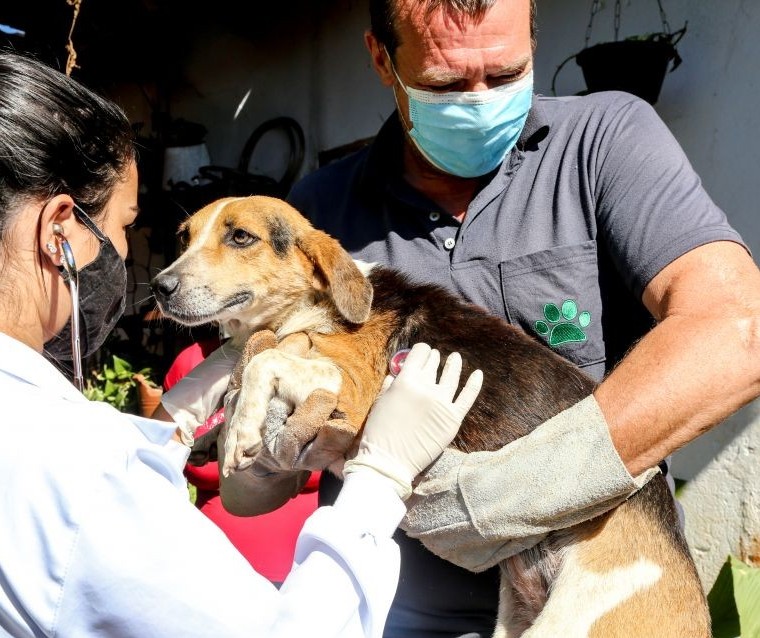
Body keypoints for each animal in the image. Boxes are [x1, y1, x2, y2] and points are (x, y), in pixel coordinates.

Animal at [151, 198, 708, 636]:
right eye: (183, 236)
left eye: (240, 236)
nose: (159, 286)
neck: (312, 306)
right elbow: (253, 362)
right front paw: (205, 431)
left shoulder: (350, 390)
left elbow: (261, 361)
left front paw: (241, 430)